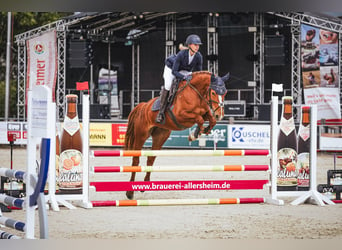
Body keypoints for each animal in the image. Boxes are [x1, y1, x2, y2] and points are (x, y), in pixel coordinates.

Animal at [124, 71, 228, 199]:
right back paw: (130, 193)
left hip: (160, 136)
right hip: (141, 135)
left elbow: (210, 120)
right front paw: (195, 134)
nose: (220, 115)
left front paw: (198, 133)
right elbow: (199, 119)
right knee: (135, 160)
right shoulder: (182, 116)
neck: (195, 93)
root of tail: (143, 106)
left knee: (151, 158)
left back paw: (145, 185)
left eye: (225, 93)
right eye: (213, 92)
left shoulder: (205, 113)